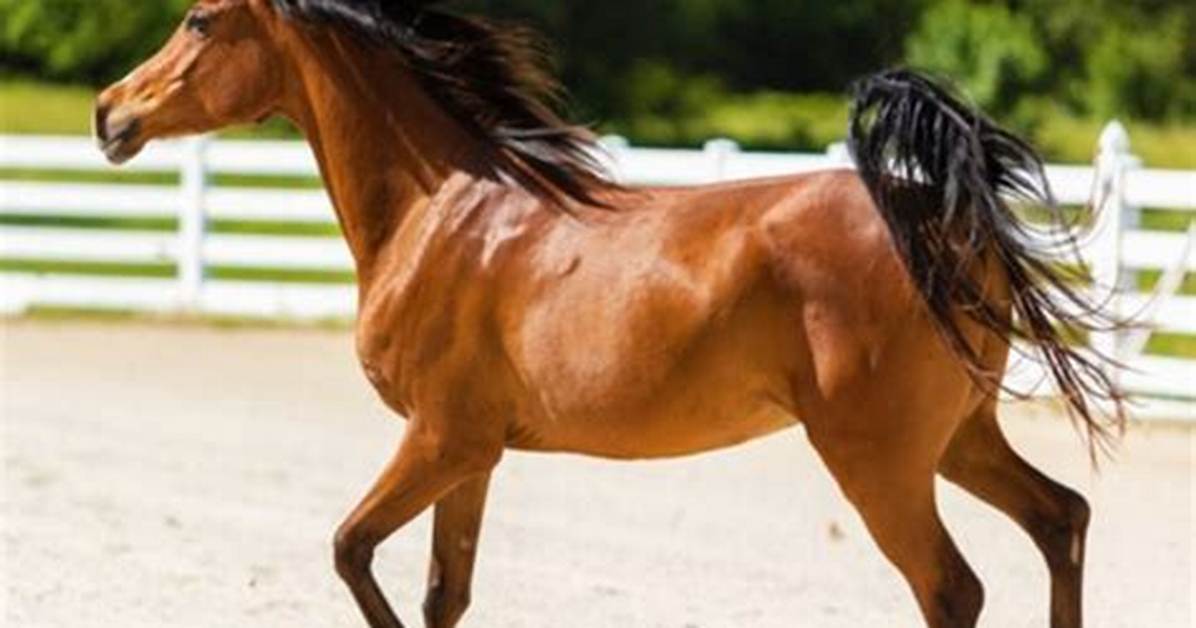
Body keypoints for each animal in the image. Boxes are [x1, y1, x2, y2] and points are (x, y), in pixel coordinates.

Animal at [94, 1, 1125, 627]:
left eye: (199, 17)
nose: (109, 113)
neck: (442, 213)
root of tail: (941, 219)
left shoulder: (438, 437)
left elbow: (351, 552)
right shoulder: (474, 453)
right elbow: (442, 594)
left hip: (879, 460)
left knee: (953, 588)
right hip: (959, 437)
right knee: (1061, 519)